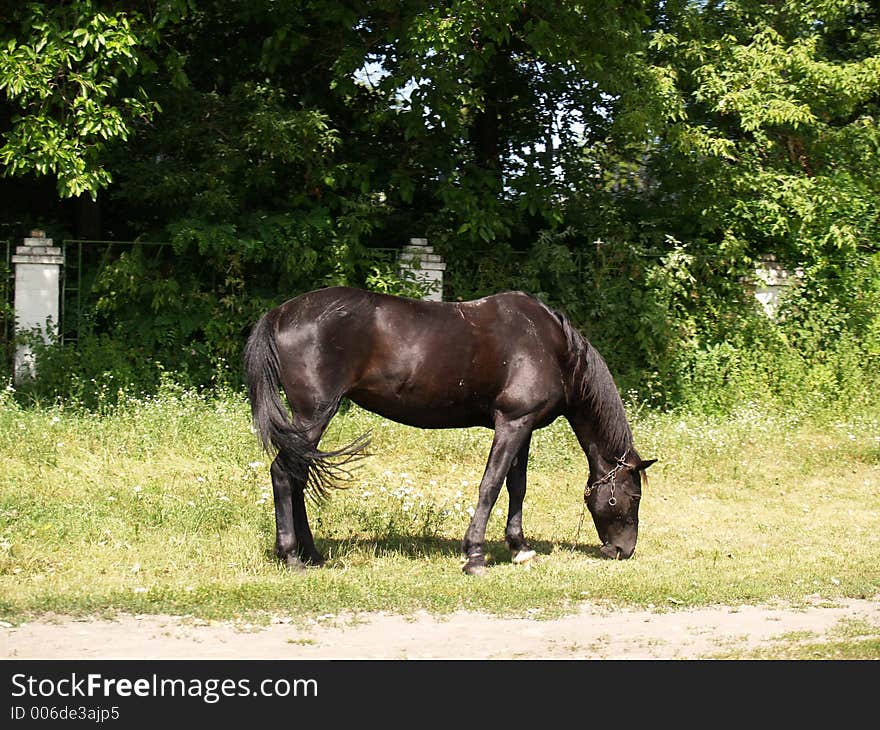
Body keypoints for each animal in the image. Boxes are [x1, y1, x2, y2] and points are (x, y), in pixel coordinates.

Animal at [244, 286, 656, 576]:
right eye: (633, 497)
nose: (623, 550)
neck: (552, 346)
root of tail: (280, 314)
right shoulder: (512, 423)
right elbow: (491, 485)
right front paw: (474, 555)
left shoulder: (523, 427)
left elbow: (516, 487)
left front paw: (519, 548)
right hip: (313, 415)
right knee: (284, 474)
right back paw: (291, 557)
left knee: (297, 476)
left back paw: (312, 554)